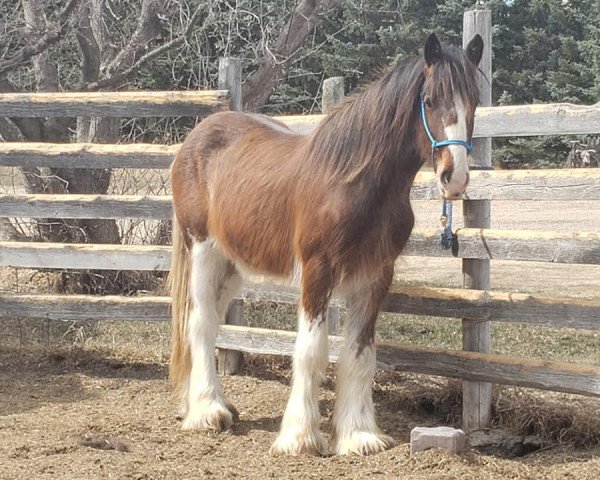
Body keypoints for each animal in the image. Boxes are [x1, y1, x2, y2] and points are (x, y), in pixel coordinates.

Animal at [168, 32, 482, 454]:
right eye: (429, 100)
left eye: (475, 102)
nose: (455, 176)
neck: (353, 182)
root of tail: (196, 138)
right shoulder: (318, 270)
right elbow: (310, 351)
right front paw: (299, 436)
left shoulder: (375, 276)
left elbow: (359, 354)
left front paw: (358, 434)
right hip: (203, 248)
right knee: (200, 322)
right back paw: (207, 413)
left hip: (233, 263)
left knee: (211, 320)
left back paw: (204, 403)